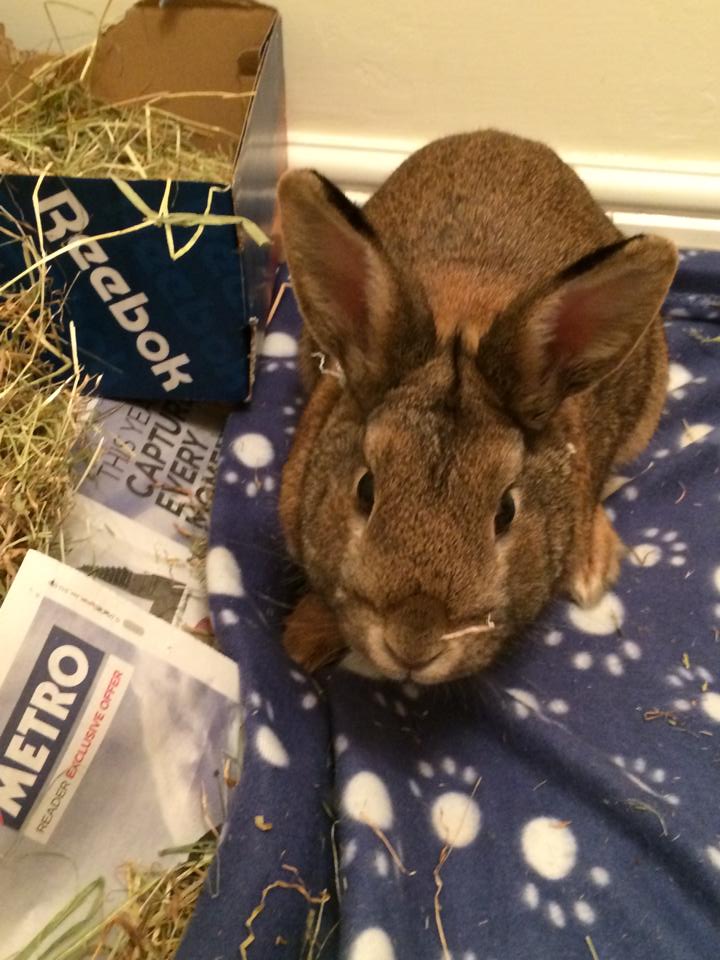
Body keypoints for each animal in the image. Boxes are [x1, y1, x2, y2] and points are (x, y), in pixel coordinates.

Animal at [276, 129, 677, 684]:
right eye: (365, 489)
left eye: (505, 512)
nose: (413, 643)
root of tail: (510, 137)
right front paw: (302, 640)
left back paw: (590, 567)